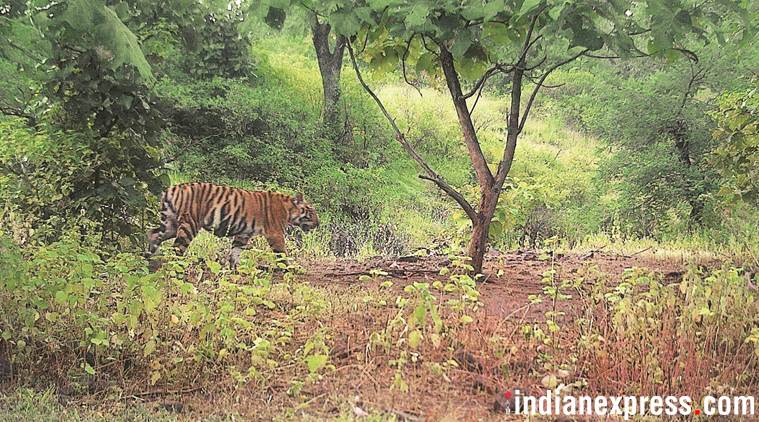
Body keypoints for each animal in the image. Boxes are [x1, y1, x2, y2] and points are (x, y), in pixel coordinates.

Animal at [147, 182, 320, 268]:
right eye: (311, 212)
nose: (318, 224)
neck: (289, 209)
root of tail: (172, 188)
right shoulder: (275, 234)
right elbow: (282, 254)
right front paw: (290, 269)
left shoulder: (243, 234)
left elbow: (235, 252)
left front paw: (234, 269)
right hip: (189, 224)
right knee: (177, 248)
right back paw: (176, 267)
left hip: (171, 224)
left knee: (153, 234)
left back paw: (147, 258)